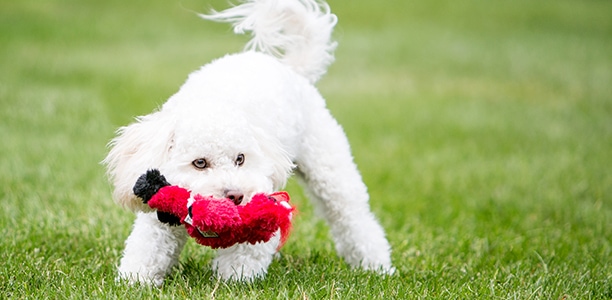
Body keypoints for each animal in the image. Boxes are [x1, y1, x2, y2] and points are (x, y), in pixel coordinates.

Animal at [103, 0, 394, 284]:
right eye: (200, 163)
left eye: (240, 159)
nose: (236, 195)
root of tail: (292, 69)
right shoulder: (159, 205)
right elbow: (148, 246)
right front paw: (136, 280)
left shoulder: (261, 201)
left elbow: (246, 251)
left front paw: (233, 279)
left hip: (328, 166)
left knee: (351, 216)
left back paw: (376, 266)